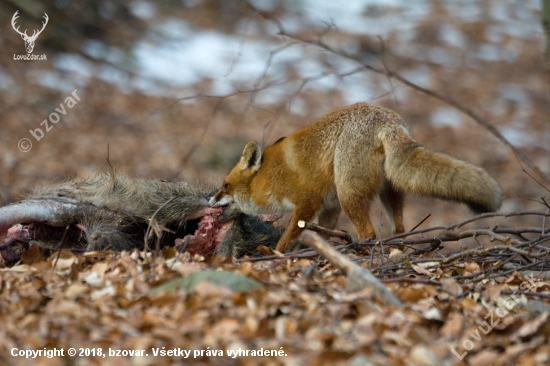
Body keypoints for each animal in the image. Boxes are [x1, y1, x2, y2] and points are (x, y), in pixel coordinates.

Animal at [211, 102, 504, 252]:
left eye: (225, 185)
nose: (210, 199)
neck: (270, 177)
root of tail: (389, 121)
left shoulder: (307, 203)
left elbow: (287, 239)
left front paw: (276, 254)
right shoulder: (329, 206)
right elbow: (325, 237)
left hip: (348, 193)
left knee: (369, 232)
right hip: (387, 191)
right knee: (399, 229)